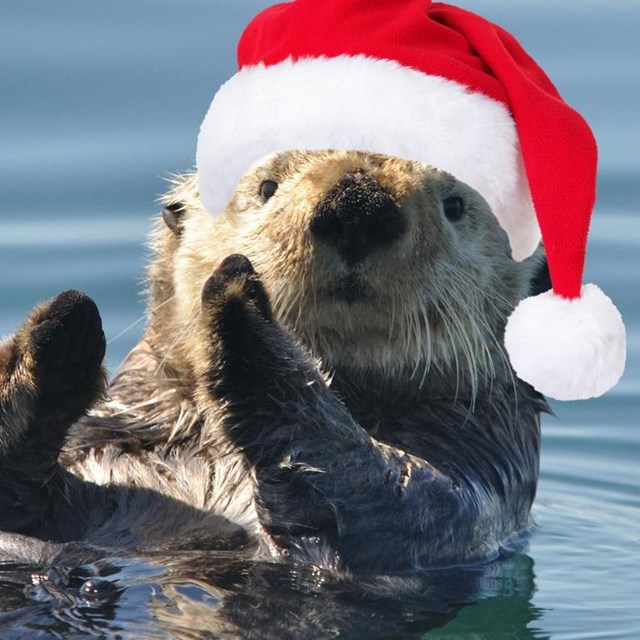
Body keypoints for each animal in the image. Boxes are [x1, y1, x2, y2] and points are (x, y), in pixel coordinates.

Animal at [0, 150, 546, 574]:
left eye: (455, 206)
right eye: (267, 186)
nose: (359, 208)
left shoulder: (476, 476)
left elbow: (386, 492)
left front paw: (238, 305)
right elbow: (20, 492)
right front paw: (56, 333)